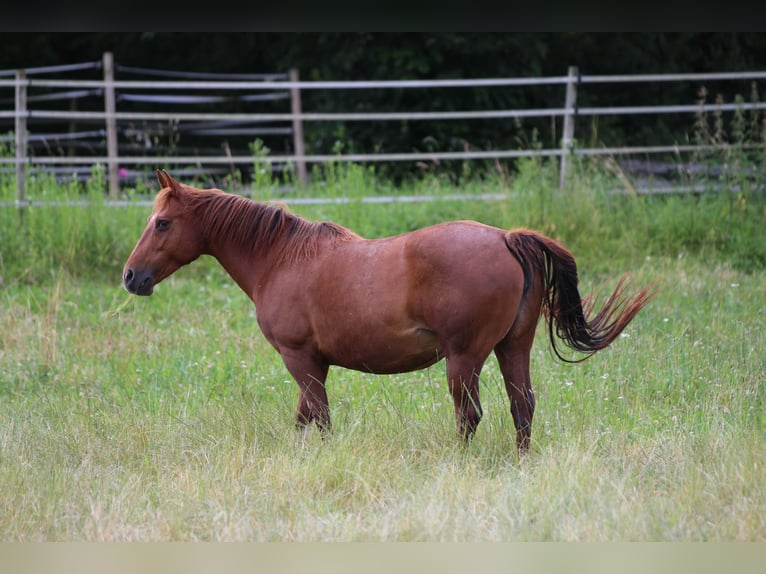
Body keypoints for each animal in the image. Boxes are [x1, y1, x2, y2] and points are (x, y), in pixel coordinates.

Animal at [123, 170, 656, 454]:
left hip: (465, 359)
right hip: (512, 348)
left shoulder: (301, 360)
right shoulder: (313, 365)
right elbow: (304, 420)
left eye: (162, 222)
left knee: (470, 415)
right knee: (521, 408)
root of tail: (507, 237)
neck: (282, 257)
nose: (131, 277)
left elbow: (318, 419)